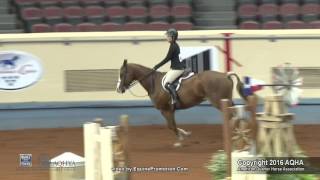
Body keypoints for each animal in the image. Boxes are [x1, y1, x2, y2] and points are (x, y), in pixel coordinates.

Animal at [116, 59, 246, 147]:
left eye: (122, 74)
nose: (119, 89)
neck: (154, 83)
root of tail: (225, 75)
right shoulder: (169, 110)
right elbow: (172, 125)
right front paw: (185, 134)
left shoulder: (166, 110)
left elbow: (171, 126)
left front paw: (180, 140)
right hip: (227, 101)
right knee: (235, 115)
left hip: (219, 102)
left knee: (232, 116)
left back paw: (235, 134)